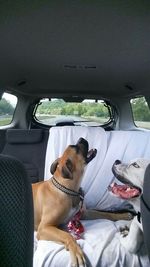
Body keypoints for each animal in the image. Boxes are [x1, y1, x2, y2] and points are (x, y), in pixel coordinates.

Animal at [32, 138, 133, 267]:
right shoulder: (44, 228)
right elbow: (67, 235)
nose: (81, 138)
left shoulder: (84, 213)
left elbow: (105, 214)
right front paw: (76, 252)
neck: (66, 189)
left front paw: (123, 215)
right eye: (75, 148)